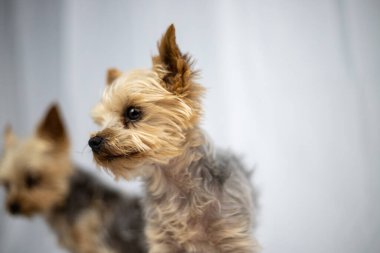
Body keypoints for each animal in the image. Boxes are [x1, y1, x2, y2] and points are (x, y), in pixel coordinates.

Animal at [90, 24, 258, 253]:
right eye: (100, 122)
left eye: (133, 112)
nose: (93, 142)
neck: (173, 181)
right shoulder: (162, 240)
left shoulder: (234, 235)